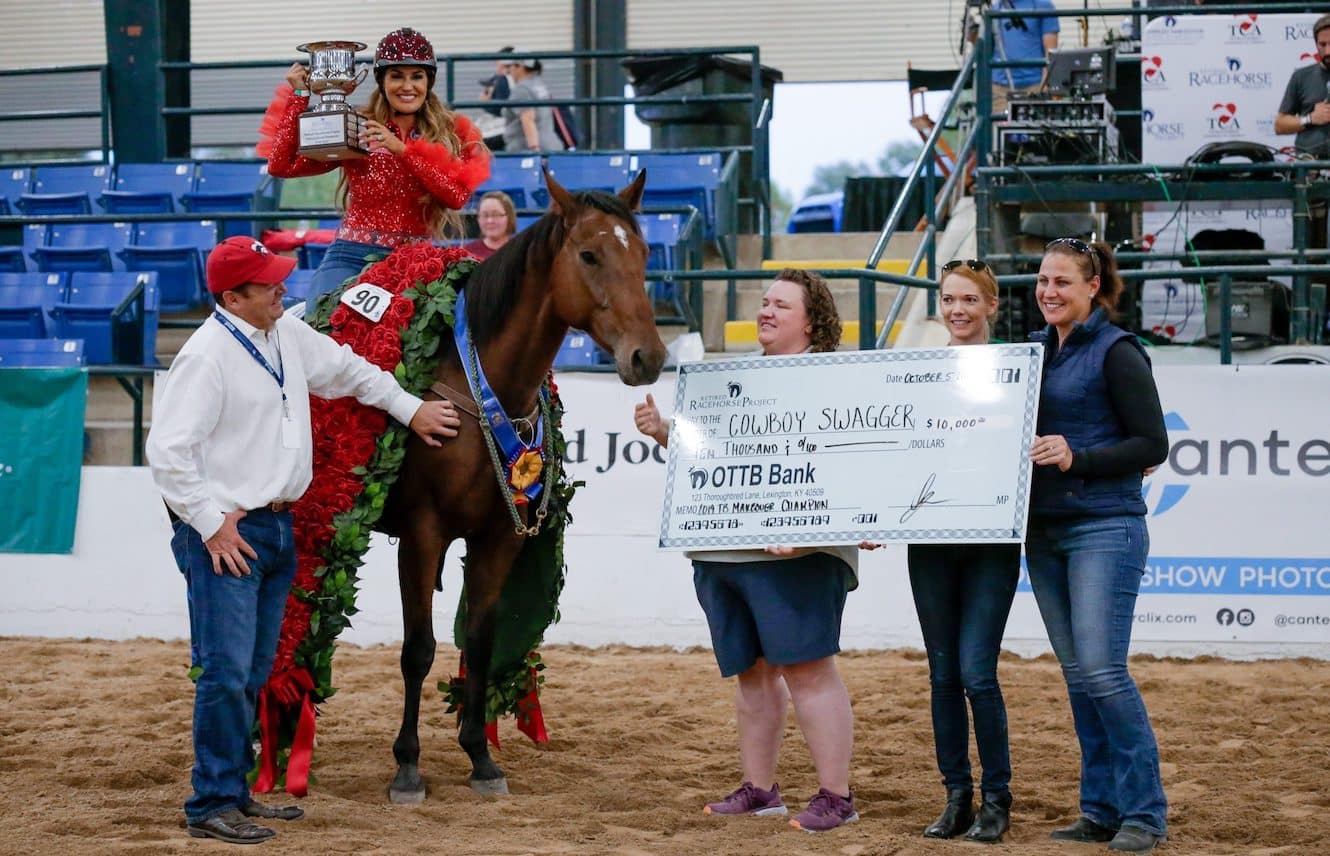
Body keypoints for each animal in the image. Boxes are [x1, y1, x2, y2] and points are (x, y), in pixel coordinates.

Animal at [380, 170, 670, 797]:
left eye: (642, 254)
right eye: (588, 255)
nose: (649, 357)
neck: (478, 386)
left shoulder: (499, 536)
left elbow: (481, 642)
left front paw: (479, 757)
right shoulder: (421, 534)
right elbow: (418, 649)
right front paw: (408, 765)